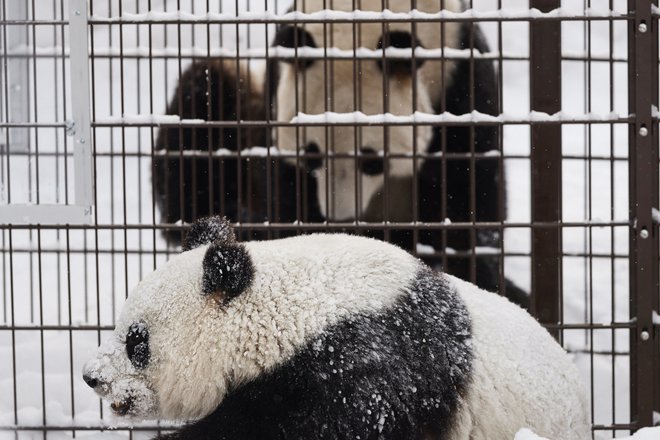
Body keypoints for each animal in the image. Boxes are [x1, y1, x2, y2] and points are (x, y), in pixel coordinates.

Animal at [152, 0, 528, 306]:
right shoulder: (279, 82)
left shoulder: (459, 68)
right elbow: (285, 193)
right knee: (205, 90)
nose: (340, 218)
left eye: (372, 160)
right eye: (312, 156)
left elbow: (471, 188)